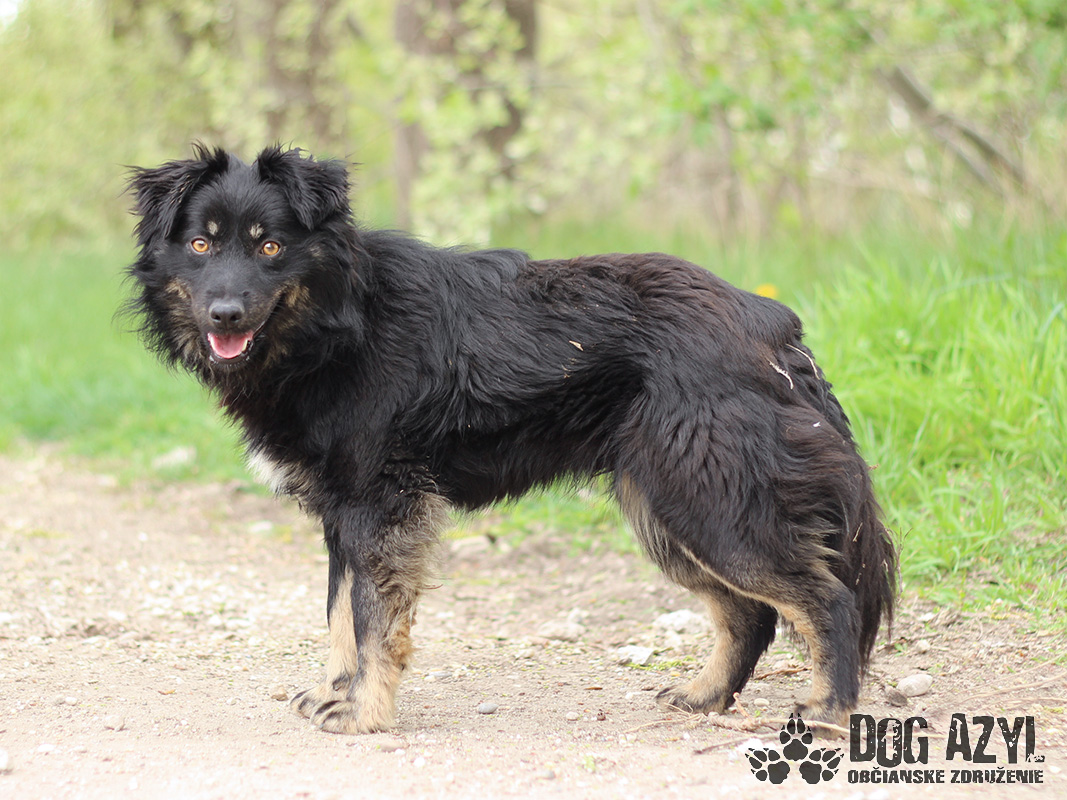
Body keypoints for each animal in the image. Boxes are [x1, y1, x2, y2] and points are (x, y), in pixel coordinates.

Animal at [126, 144, 896, 735]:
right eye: (201, 244)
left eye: (270, 246)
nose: (225, 312)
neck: (340, 321)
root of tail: (773, 327)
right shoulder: (341, 513)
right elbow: (340, 614)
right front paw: (336, 692)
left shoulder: (379, 505)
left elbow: (372, 620)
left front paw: (365, 713)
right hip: (667, 507)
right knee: (748, 614)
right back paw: (705, 695)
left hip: (709, 502)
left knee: (826, 601)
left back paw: (827, 714)